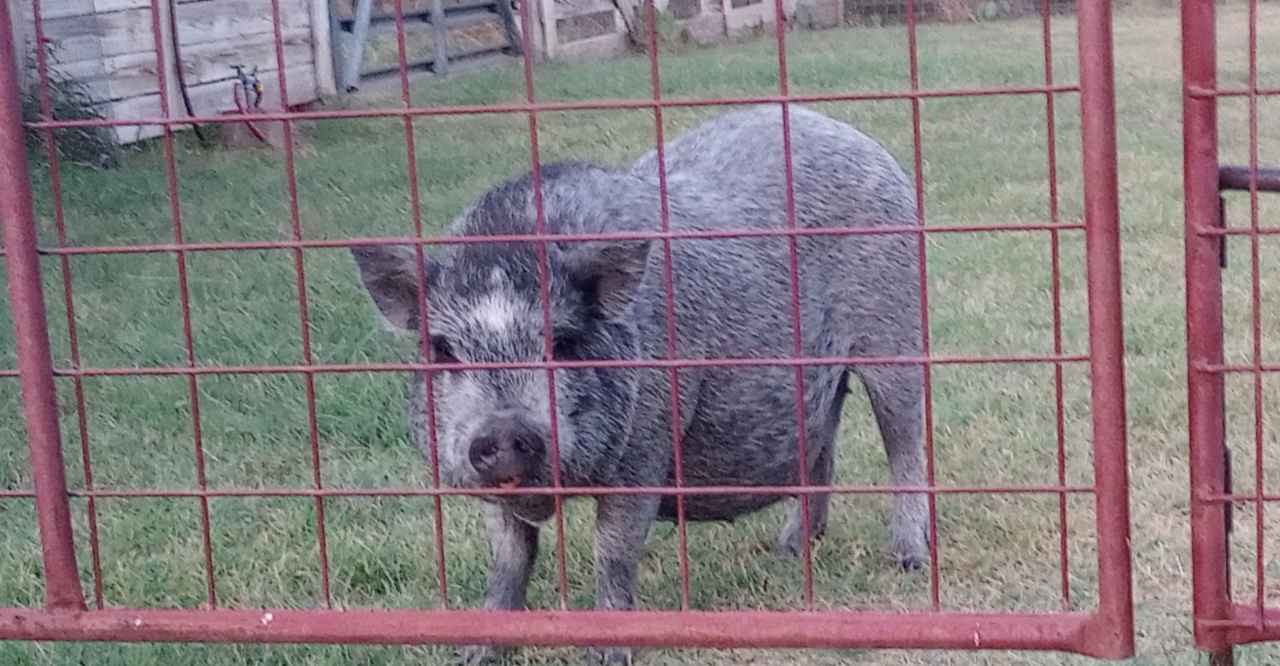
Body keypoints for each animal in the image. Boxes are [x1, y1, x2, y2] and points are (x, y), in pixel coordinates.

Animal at [350, 102, 931, 660]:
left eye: (564, 343)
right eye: (443, 350)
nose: (504, 429)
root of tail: (850, 133)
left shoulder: (645, 446)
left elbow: (613, 550)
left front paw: (608, 655)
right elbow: (510, 557)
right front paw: (473, 653)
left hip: (897, 331)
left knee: (905, 444)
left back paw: (908, 559)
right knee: (824, 442)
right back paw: (788, 549)